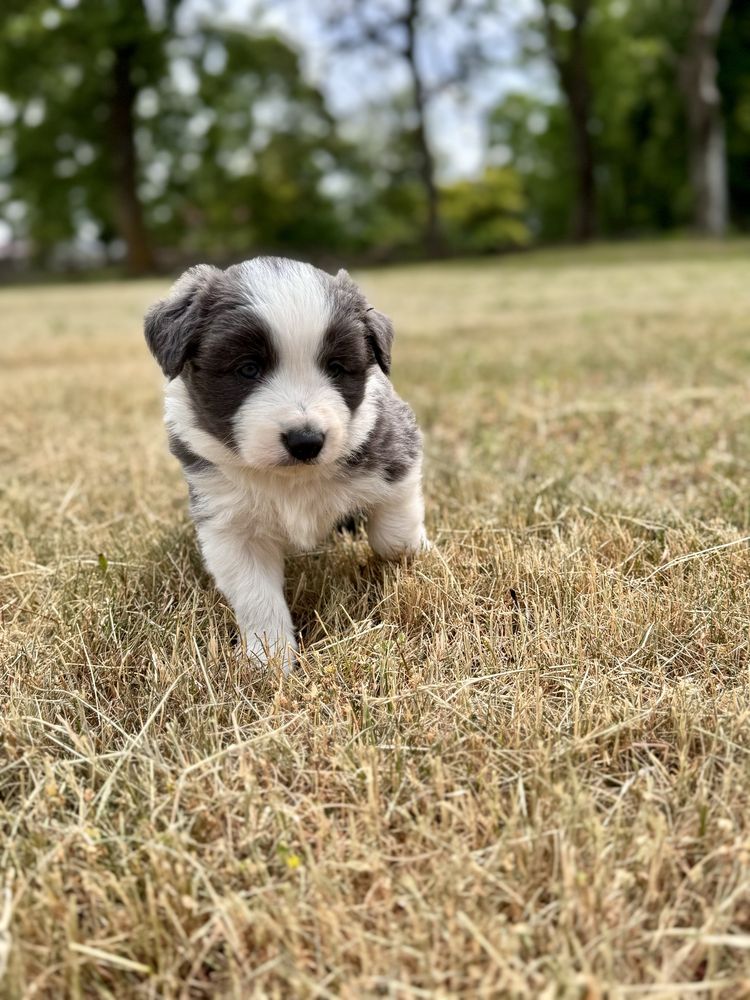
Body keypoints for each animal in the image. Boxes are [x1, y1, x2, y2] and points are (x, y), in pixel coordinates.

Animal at [145, 254, 428, 668]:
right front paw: (269, 660)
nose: (306, 441)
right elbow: (256, 596)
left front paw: (416, 557)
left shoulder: (396, 450)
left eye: (336, 368)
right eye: (248, 368)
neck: (291, 478)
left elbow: (395, 535)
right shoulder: (229, 525)